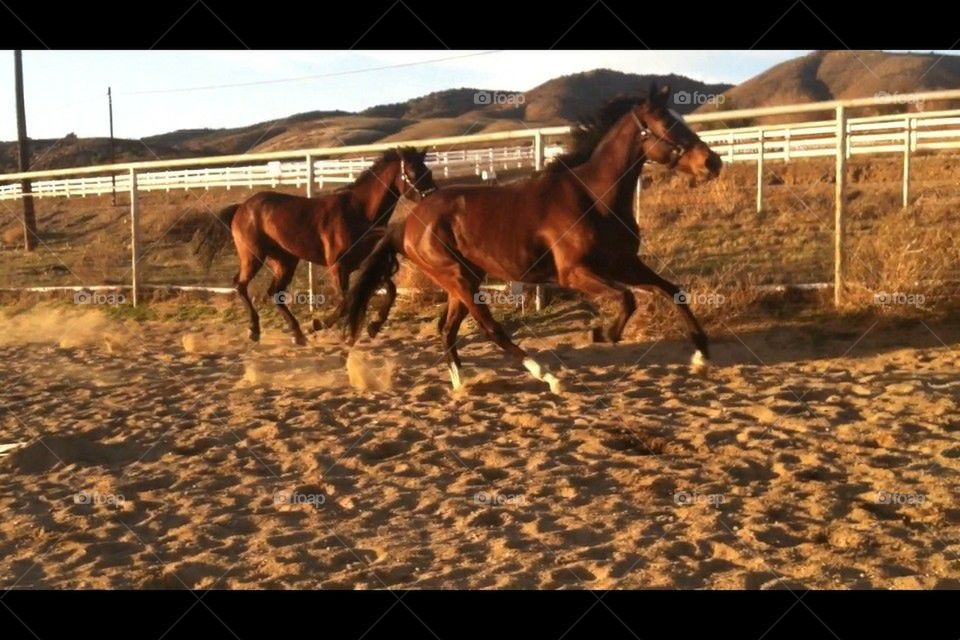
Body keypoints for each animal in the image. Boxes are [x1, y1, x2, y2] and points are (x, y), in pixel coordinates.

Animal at [192, 147, 437, 345]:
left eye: (429, 171)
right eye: (413, 172)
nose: (432, 199)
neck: (358, 211)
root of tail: (242, 206)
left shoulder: (362, 265)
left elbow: (391, 290)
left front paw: (373, 326)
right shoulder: (338, 267)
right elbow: (345, 301)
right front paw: (320, 325)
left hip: (285, 260)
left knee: (275, 293)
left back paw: (297, 334)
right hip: (253, 256)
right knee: (240, 285)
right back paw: (255, 330)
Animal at [340, 83, 722, 394]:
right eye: (667, 124)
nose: (713, 162)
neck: (593, 198)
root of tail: (406, 224)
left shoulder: (623, 263)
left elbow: (673, 291)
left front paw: (701, 358)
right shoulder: (574, 273)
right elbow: (627, 299)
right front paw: (601, 334)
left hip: (463, 280)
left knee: (445, 330)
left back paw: (462, 385)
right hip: (458, 277)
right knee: (490, 329)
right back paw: (548, 376)